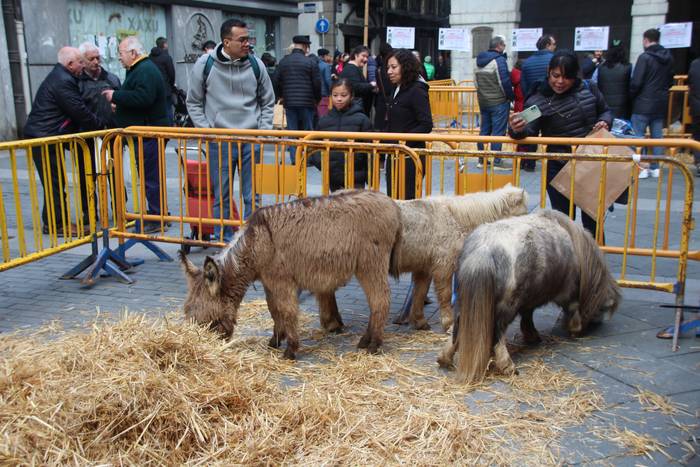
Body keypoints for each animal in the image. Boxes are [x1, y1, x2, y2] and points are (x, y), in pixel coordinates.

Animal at [178, 189, 402, 358]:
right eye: (187, 312)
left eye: (202, 317)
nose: (201, 346)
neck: (256, 242)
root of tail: (390, 202)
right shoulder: (269, 282)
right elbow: (274, 310)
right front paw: (276, 340)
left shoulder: (281, 280)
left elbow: (287, 310)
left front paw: (291, 349)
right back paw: (366, 340)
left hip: (370, 264)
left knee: (380, 300)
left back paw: (373, 344)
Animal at [394, 185, 524, 330]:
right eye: (521, 215)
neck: (455, 218)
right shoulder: (443, 267)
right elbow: (445, 295)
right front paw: (448, 323)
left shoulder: (424, 269)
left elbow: (420, 293)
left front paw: (420, 322)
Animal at [440, 210, 620, 386]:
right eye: (603, 308)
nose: (598, 323)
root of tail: (482, 251)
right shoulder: (569, 292)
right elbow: (573, 307)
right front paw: (575, 329)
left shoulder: (529, 300)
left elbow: (528, 316)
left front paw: (532, 336)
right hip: (505, 307)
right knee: (498, 335)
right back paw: (508, 366)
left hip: (463, 304)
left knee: (457, 328)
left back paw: (444, 358)